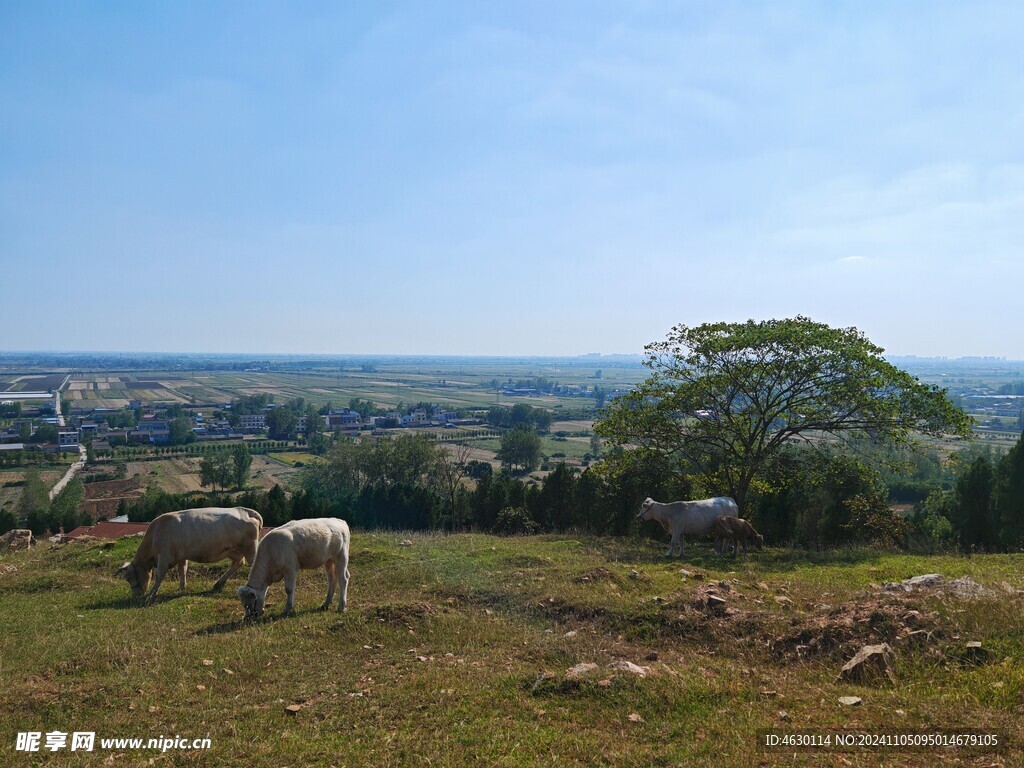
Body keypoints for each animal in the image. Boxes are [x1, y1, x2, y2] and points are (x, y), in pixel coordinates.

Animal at [115, 507, 264, 606]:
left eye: (130, 577)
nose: (136, 596)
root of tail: (245, 510)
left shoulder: (164, 556)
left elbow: (160, 575)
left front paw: (152, 593)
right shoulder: (181, 556)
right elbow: (183, 570)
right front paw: (182, 587)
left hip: (250, 546)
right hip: (235, 550)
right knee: (238, 563)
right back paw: (218, 584)